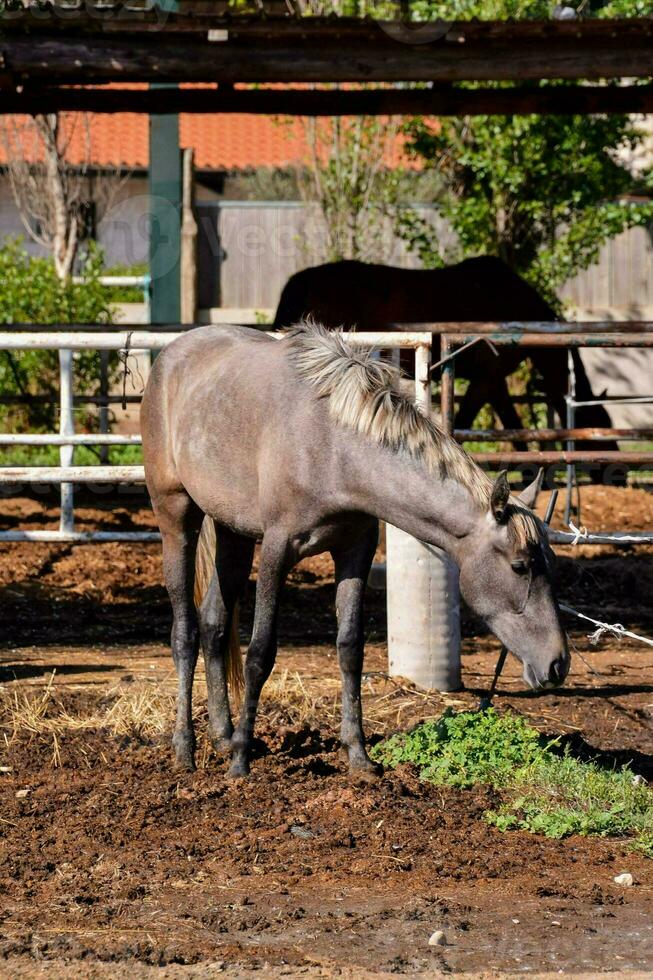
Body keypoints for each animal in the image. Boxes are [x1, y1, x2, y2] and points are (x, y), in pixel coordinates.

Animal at [140, 326, 568, 776]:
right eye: (520, 566)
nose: (558, 663)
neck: (334, 447)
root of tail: (172, 354)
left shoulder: (355, 551)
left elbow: (349, 649)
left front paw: (358, 754)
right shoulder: (276, 549)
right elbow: (260, 652)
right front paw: (241, 762)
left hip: (232, 531)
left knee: (213, 624)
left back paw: (221, 735)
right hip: (176, 516)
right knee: (185, 632)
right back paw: (186, 747)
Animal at [274, 251, 616, 468]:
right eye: (600, 429)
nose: (617, 476)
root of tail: (305, 280)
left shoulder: (493, 382)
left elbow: (513, 426)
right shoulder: (487, 379)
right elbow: (469, 422)